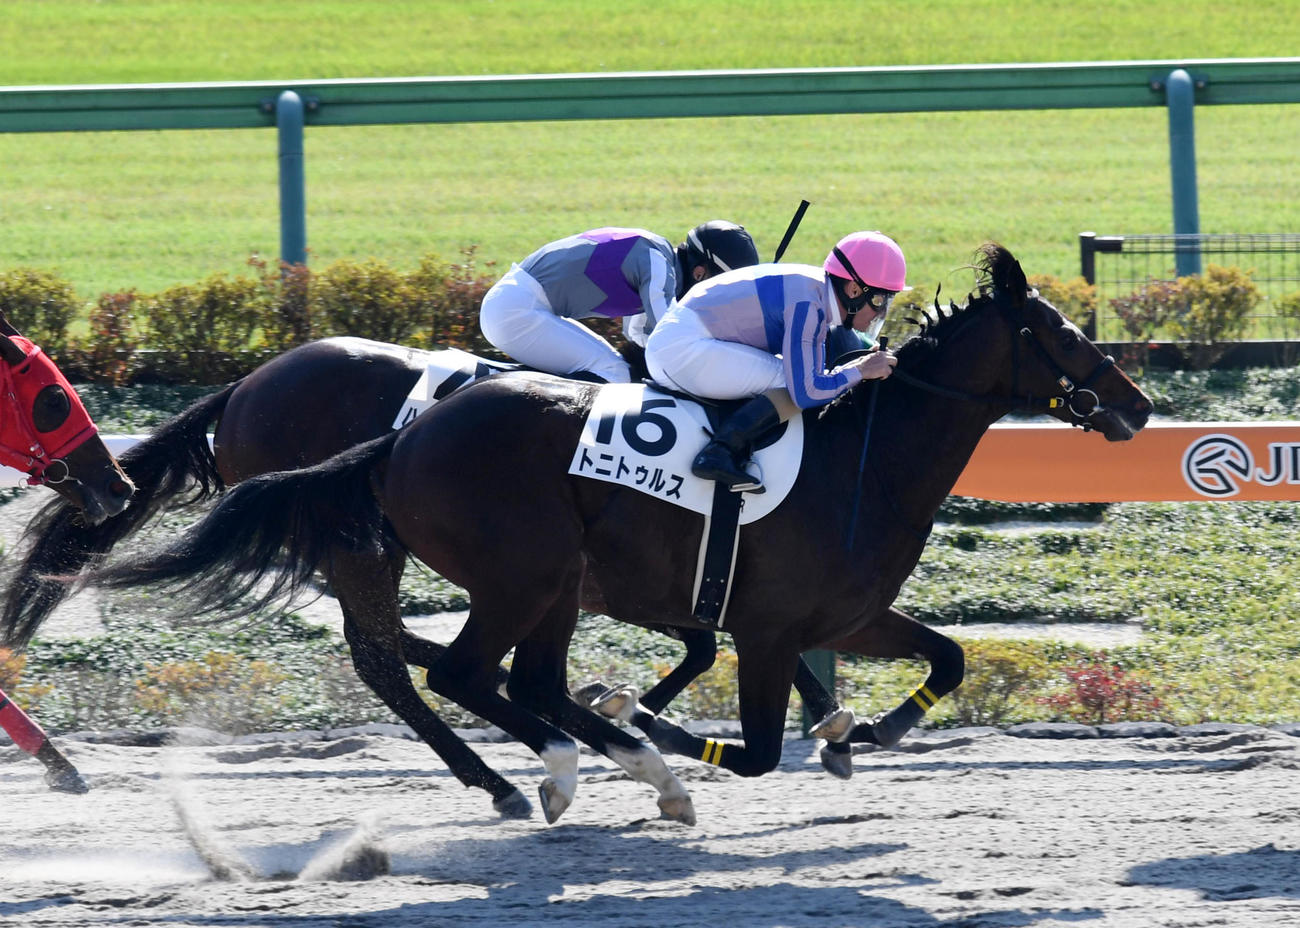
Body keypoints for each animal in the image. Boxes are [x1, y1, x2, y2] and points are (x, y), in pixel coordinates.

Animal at [70, 243, 1152, 825]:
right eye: (1064, 334)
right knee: (444, 668)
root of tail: (402, 438)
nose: (1138, 405)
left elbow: (948, 655)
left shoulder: (843, 615)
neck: (860, 458)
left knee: (498, 676)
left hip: (534, 578)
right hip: (495, 567)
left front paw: (866, 728)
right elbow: (751, 745)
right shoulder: (764, 626)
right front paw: (656, 721)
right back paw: (556, 771)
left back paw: (578, 764)